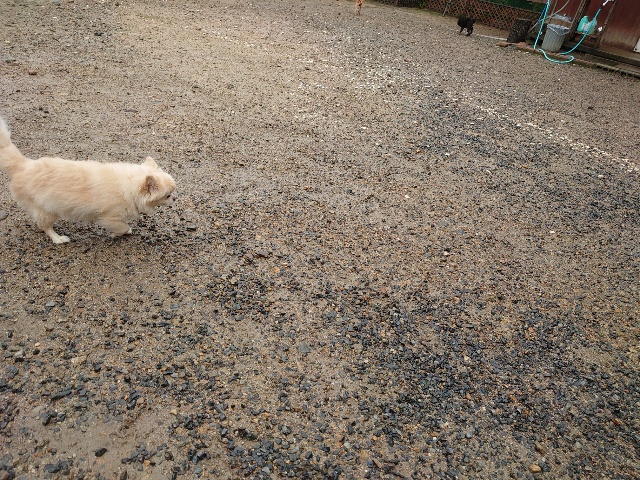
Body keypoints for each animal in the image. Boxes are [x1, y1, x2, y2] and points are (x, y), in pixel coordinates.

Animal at [0, 116, 176, 244]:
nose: (174, 199)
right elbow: (122, 227)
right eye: (168, 195)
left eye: (172, 193)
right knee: (45, 226)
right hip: (48, 210)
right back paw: (58, 238)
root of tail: (23, 165)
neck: (129, 185)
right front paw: (117, 234)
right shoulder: (108, 217)